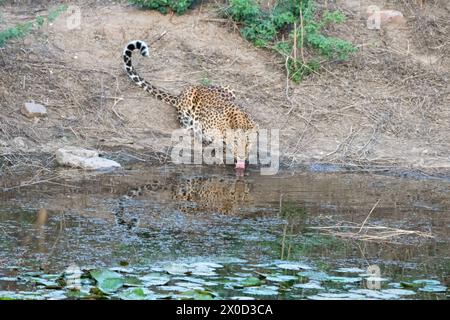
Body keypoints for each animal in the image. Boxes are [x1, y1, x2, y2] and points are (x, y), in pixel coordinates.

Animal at [123, 40, 258, 175]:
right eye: (236, 143)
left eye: (248, 144)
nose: (241, 157)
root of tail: (179, 96)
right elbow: (217, 145)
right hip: (188, 102)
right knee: (186, 125)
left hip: (230, 88)